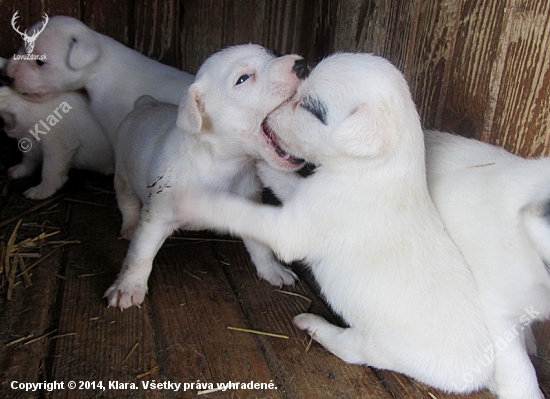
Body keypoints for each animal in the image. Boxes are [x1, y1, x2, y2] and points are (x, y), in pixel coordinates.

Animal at [0, 56, 113, 200]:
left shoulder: (57, 145)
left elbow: (49, 170)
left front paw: (37, 193)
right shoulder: (27, 139)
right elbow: (28, 159)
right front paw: (15, 171)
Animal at [104, 45, 310, 310]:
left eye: (273, 55)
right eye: (243, 79)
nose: (301, 64)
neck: (225, 164)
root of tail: (145, 103)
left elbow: (260, 245)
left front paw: (274, 271)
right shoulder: (157, 214)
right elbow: (141, 253)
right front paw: (126, 288)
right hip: (122, 171)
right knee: (127, 201)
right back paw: (129, 227)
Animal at [179, 54, 498, 396]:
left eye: (310, 108)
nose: (268, 119)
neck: (372, 169)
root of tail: (479, 373)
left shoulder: (292, 230)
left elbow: (242, 212)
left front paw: (195, 200)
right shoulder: (305, 195)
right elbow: (286, 180)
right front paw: (263, 164)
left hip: (379, 347)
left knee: (351, 349)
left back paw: (313, 325)